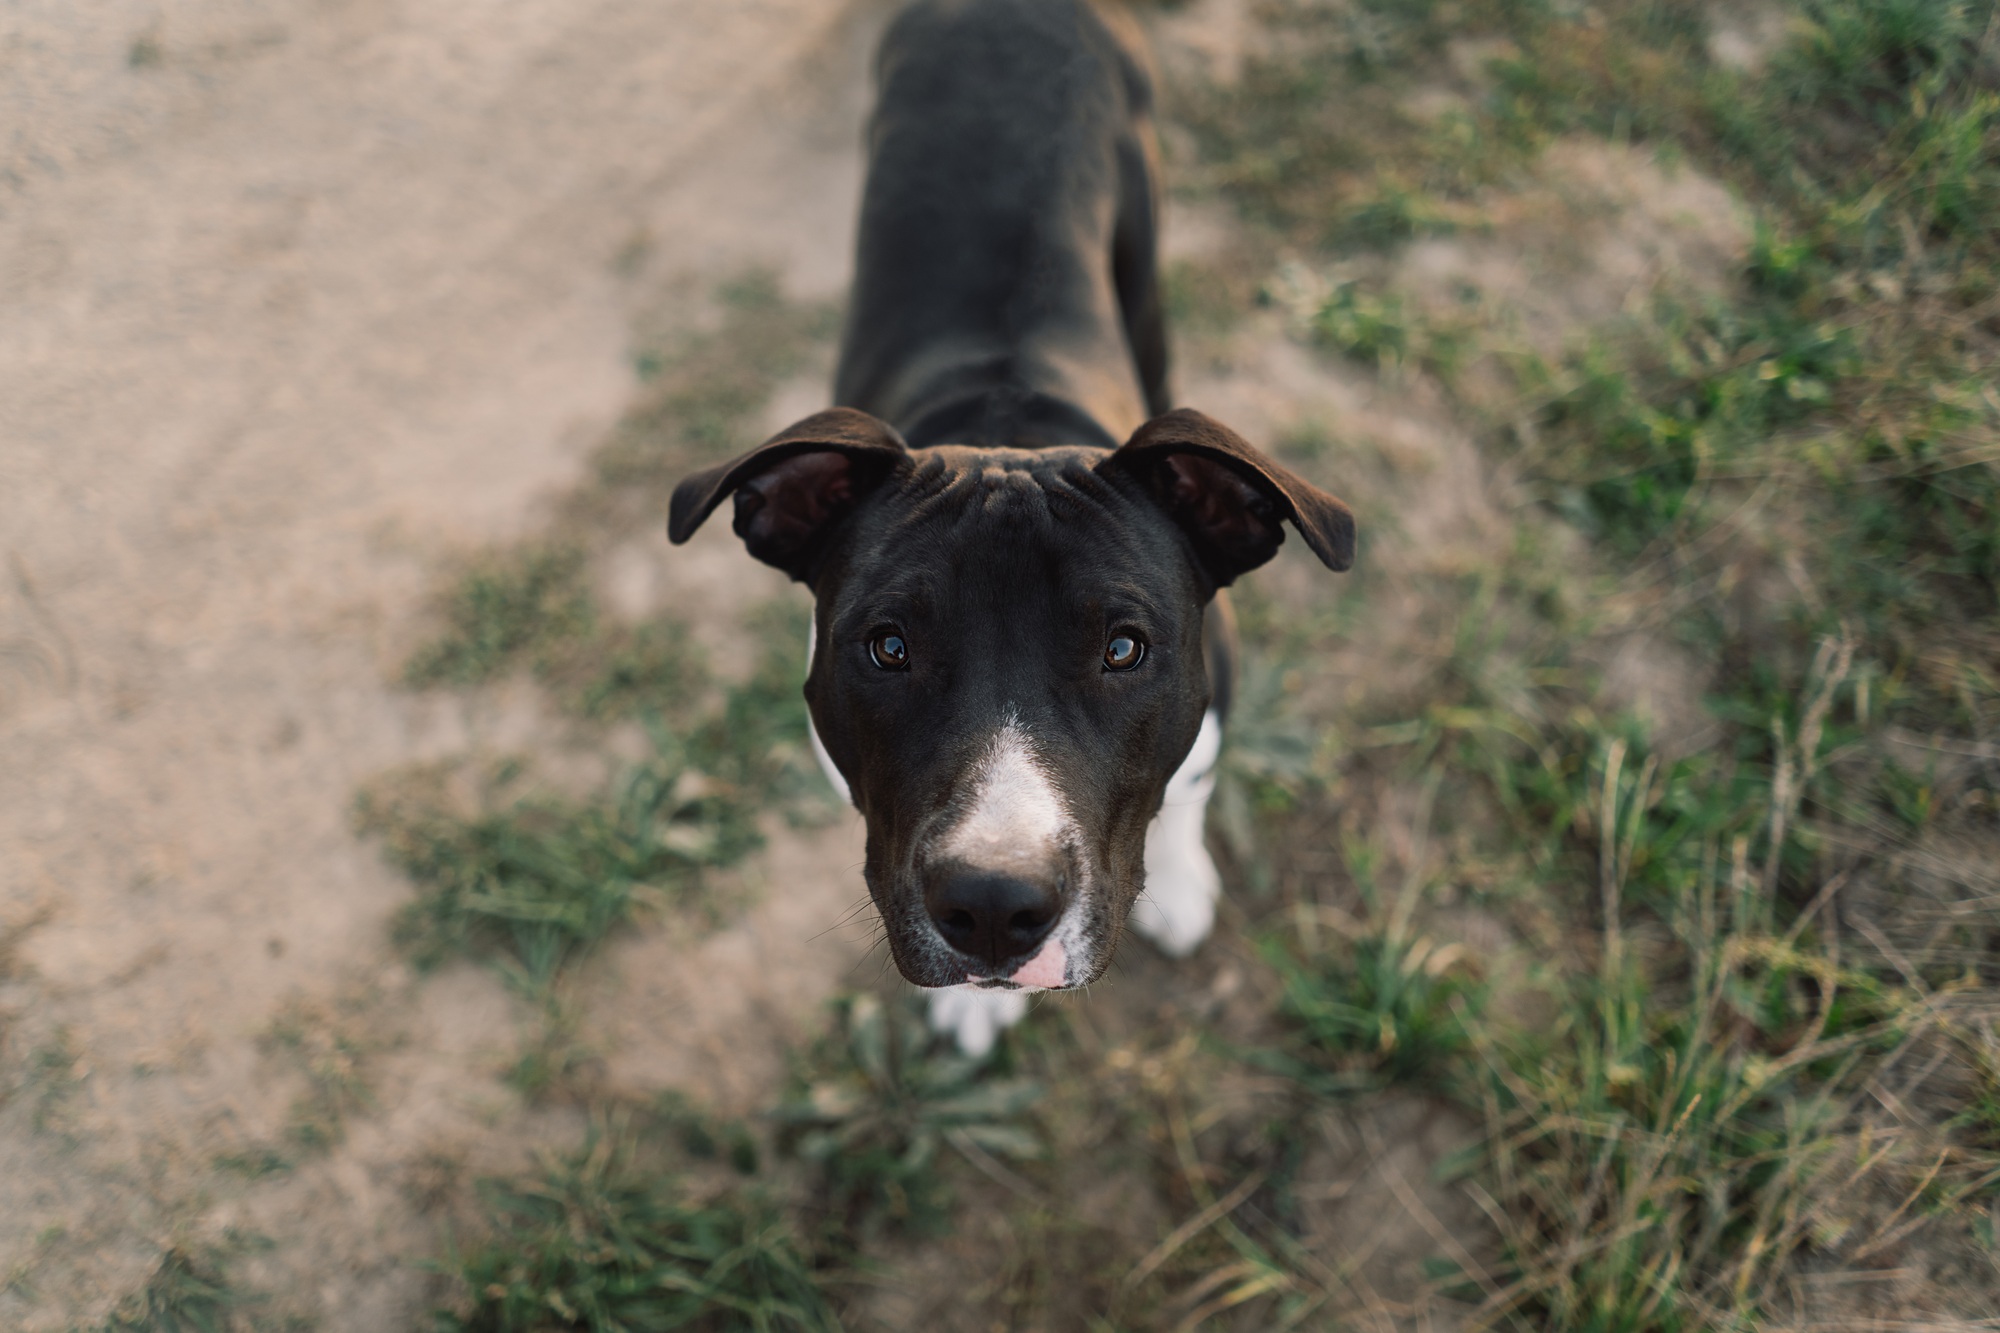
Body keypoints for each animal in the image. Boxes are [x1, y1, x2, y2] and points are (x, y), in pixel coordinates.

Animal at [664, 0, 1352, 1056]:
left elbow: (1188, 784)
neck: (1007, 429)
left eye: (1124, 648)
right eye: (888, 647)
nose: (993, 906)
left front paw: (1183, 879)